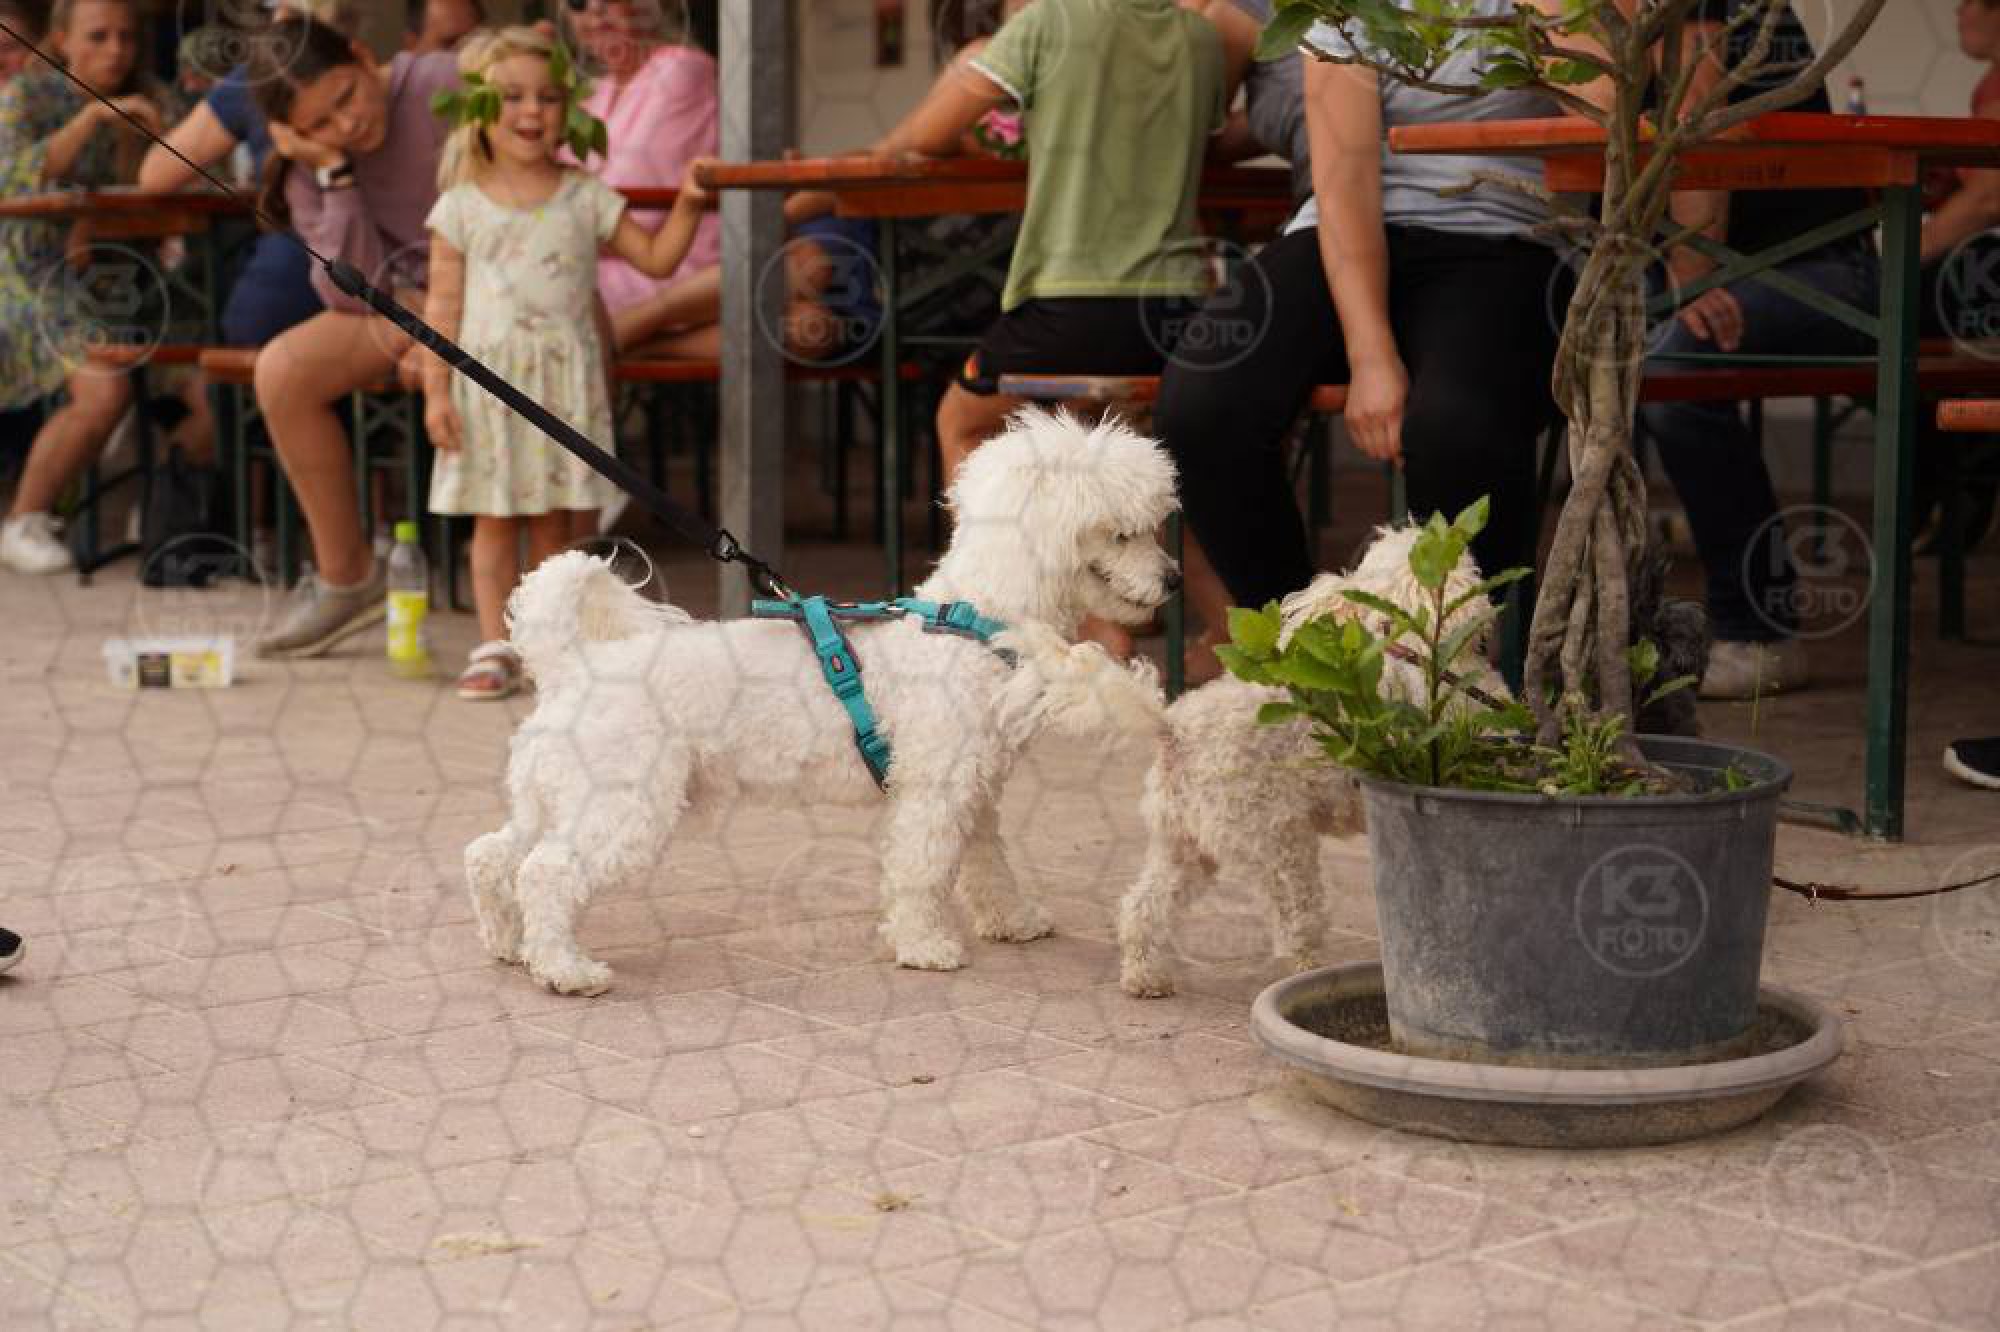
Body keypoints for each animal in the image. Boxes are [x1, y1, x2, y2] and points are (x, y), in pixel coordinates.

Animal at [466, 408, 1179, 995]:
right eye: (1122, 535)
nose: (1174, 579)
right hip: (622, 806)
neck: (970, 621)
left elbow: (986, 864)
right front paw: (924, 946)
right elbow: (921, 869)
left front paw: (1013, 919)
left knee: (494, 856)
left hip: (551, 796)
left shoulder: (974, 792)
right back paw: (566, 970)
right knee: (547, 871)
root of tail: (571, 665)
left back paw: (510, 945)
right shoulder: (936, 792)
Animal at [1117, 524, 1501, 999]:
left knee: (1143, 906)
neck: (1403, 649)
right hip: (1277, 843)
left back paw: (1143, 975)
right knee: (1294, 921)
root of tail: (1174, 730)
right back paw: (1308, 973)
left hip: (1184, 845)